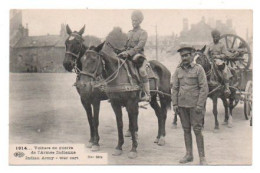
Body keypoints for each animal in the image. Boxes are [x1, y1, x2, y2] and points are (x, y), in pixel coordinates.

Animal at [80, 27, 172, 158]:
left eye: (93, 60)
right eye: (82, 60)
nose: (83, 84)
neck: (119, 75)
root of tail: (164, 67)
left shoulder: (131, 104)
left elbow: (133, 125)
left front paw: (133, 149)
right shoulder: (115, 104)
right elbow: (120, 124)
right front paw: (119, 147)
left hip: (163, 96)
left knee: (163, 114)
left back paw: (162, 139)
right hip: (153, 98)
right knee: (159, 113)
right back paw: (158, 137)